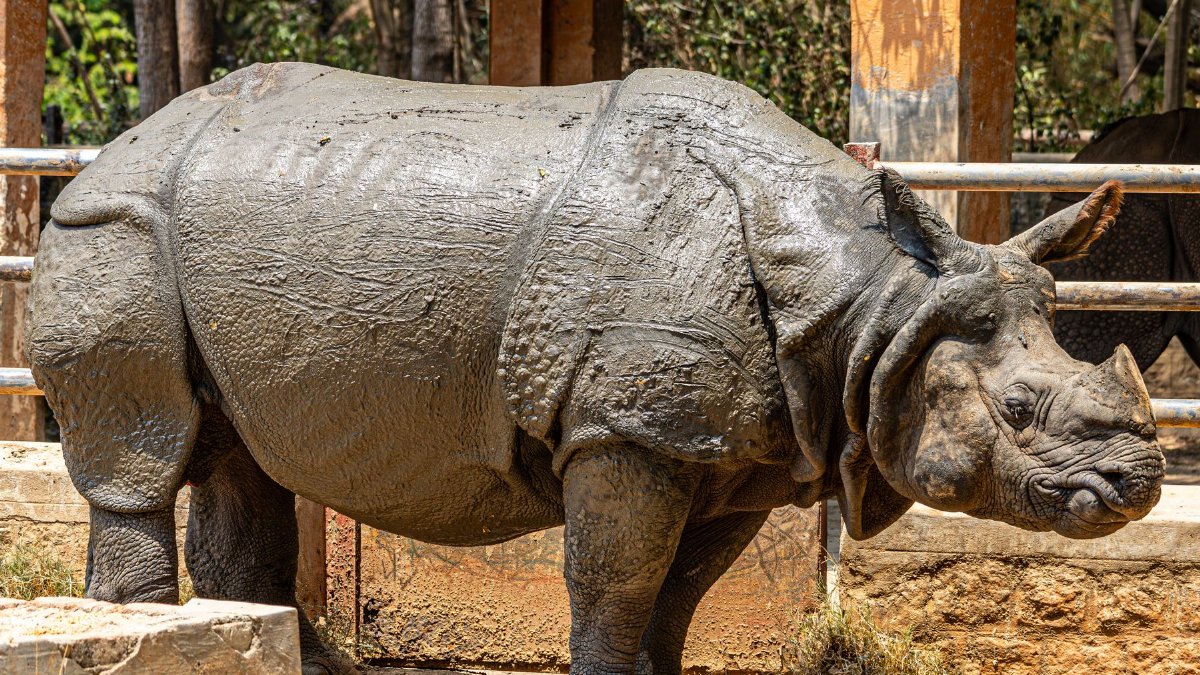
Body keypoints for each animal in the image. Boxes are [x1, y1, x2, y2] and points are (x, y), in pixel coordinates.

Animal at [27, 63, 1165, 674]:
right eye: (1020, 407)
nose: (1143, 482)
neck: (876, 302)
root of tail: (106, 147)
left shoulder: (731, 451)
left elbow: (680, 592)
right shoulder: (628, 433)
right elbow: (615, 581)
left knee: (240, 456)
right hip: (114, 227)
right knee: (143, 447)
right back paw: (142, 622)